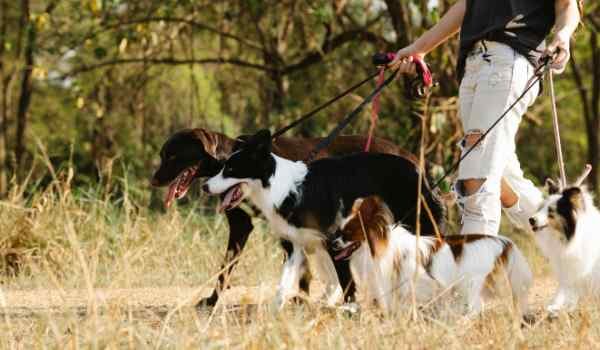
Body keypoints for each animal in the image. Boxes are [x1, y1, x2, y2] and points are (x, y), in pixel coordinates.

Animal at [336, 197, 532, 318]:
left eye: (348, 235)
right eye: (340, 232)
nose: (333, 242)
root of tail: (502, 241)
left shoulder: (424, 282)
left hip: (471, 282)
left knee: (474, 306)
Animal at [528, 165, 600, 314]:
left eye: (551, 211)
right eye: (541, 207)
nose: (531, 220)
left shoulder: (580, 267)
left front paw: (569, 306)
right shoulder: (565, 267)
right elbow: (564, 288)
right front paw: (555, 305)